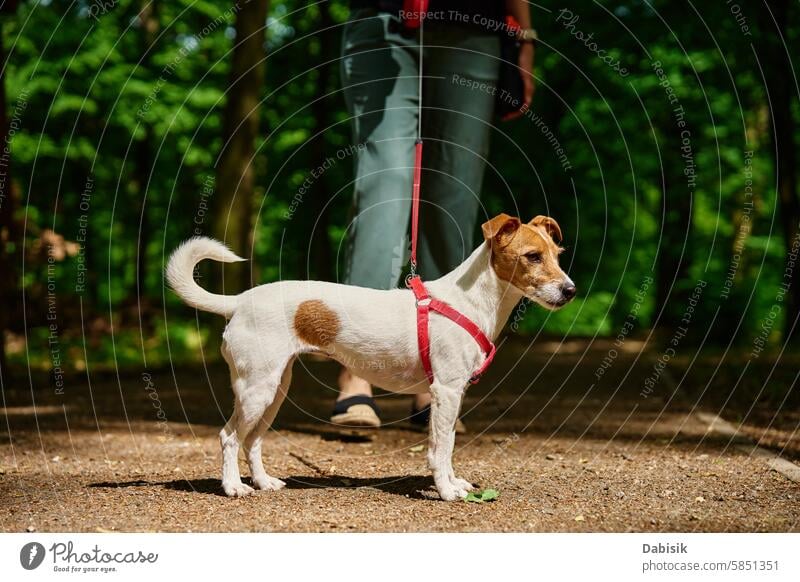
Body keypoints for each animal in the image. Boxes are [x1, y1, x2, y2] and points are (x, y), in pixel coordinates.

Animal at [167, 214, 576, 502]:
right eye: (532, 257)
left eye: (557, 256)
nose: (570, 290)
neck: (469, 300)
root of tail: (238, 302)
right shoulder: (446, 392)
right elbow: (441, 448)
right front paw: (446, 491)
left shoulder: (452, 394)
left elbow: (445, 446)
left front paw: (453, 482)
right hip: (257, 389)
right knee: (229, 436)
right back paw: (233, 487)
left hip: (275, 389)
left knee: (252, 440)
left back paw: (263, 481)